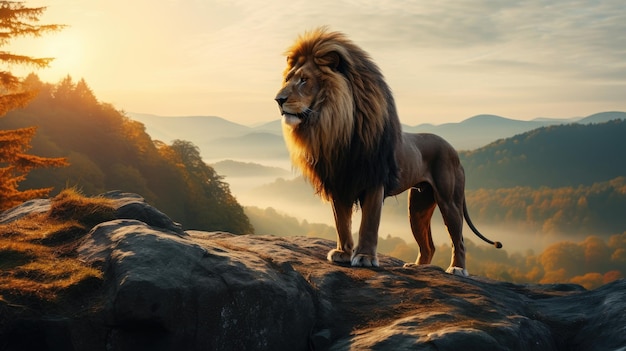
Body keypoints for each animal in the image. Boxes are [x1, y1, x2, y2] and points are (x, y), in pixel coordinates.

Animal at [272, 27, 498, 276]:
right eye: (288, 79)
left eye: (304, 80)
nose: (278, 99)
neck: (336, 128)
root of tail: (455, 151)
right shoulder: (340, 183)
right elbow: (342, 223)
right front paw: (342, 253)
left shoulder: (374, 181)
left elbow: (369, 224)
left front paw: (364, 257)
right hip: (417, 206)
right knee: (428, 245)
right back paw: (416, 267)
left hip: (449, 201)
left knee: (459, 239)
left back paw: (457, 269)